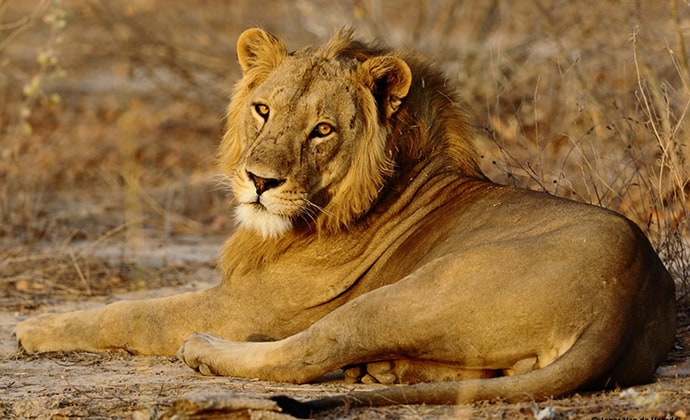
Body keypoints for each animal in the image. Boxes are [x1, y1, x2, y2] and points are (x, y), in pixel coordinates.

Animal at [13, 27, 676, 416]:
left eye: (322, 130)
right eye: (263, 109)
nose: (259, 182)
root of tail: (624, 303)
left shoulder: (242, 308)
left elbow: (132, 311)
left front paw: (35, 328)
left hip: (406, 292)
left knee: (305, 355)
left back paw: (205, 351)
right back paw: (382, 369)